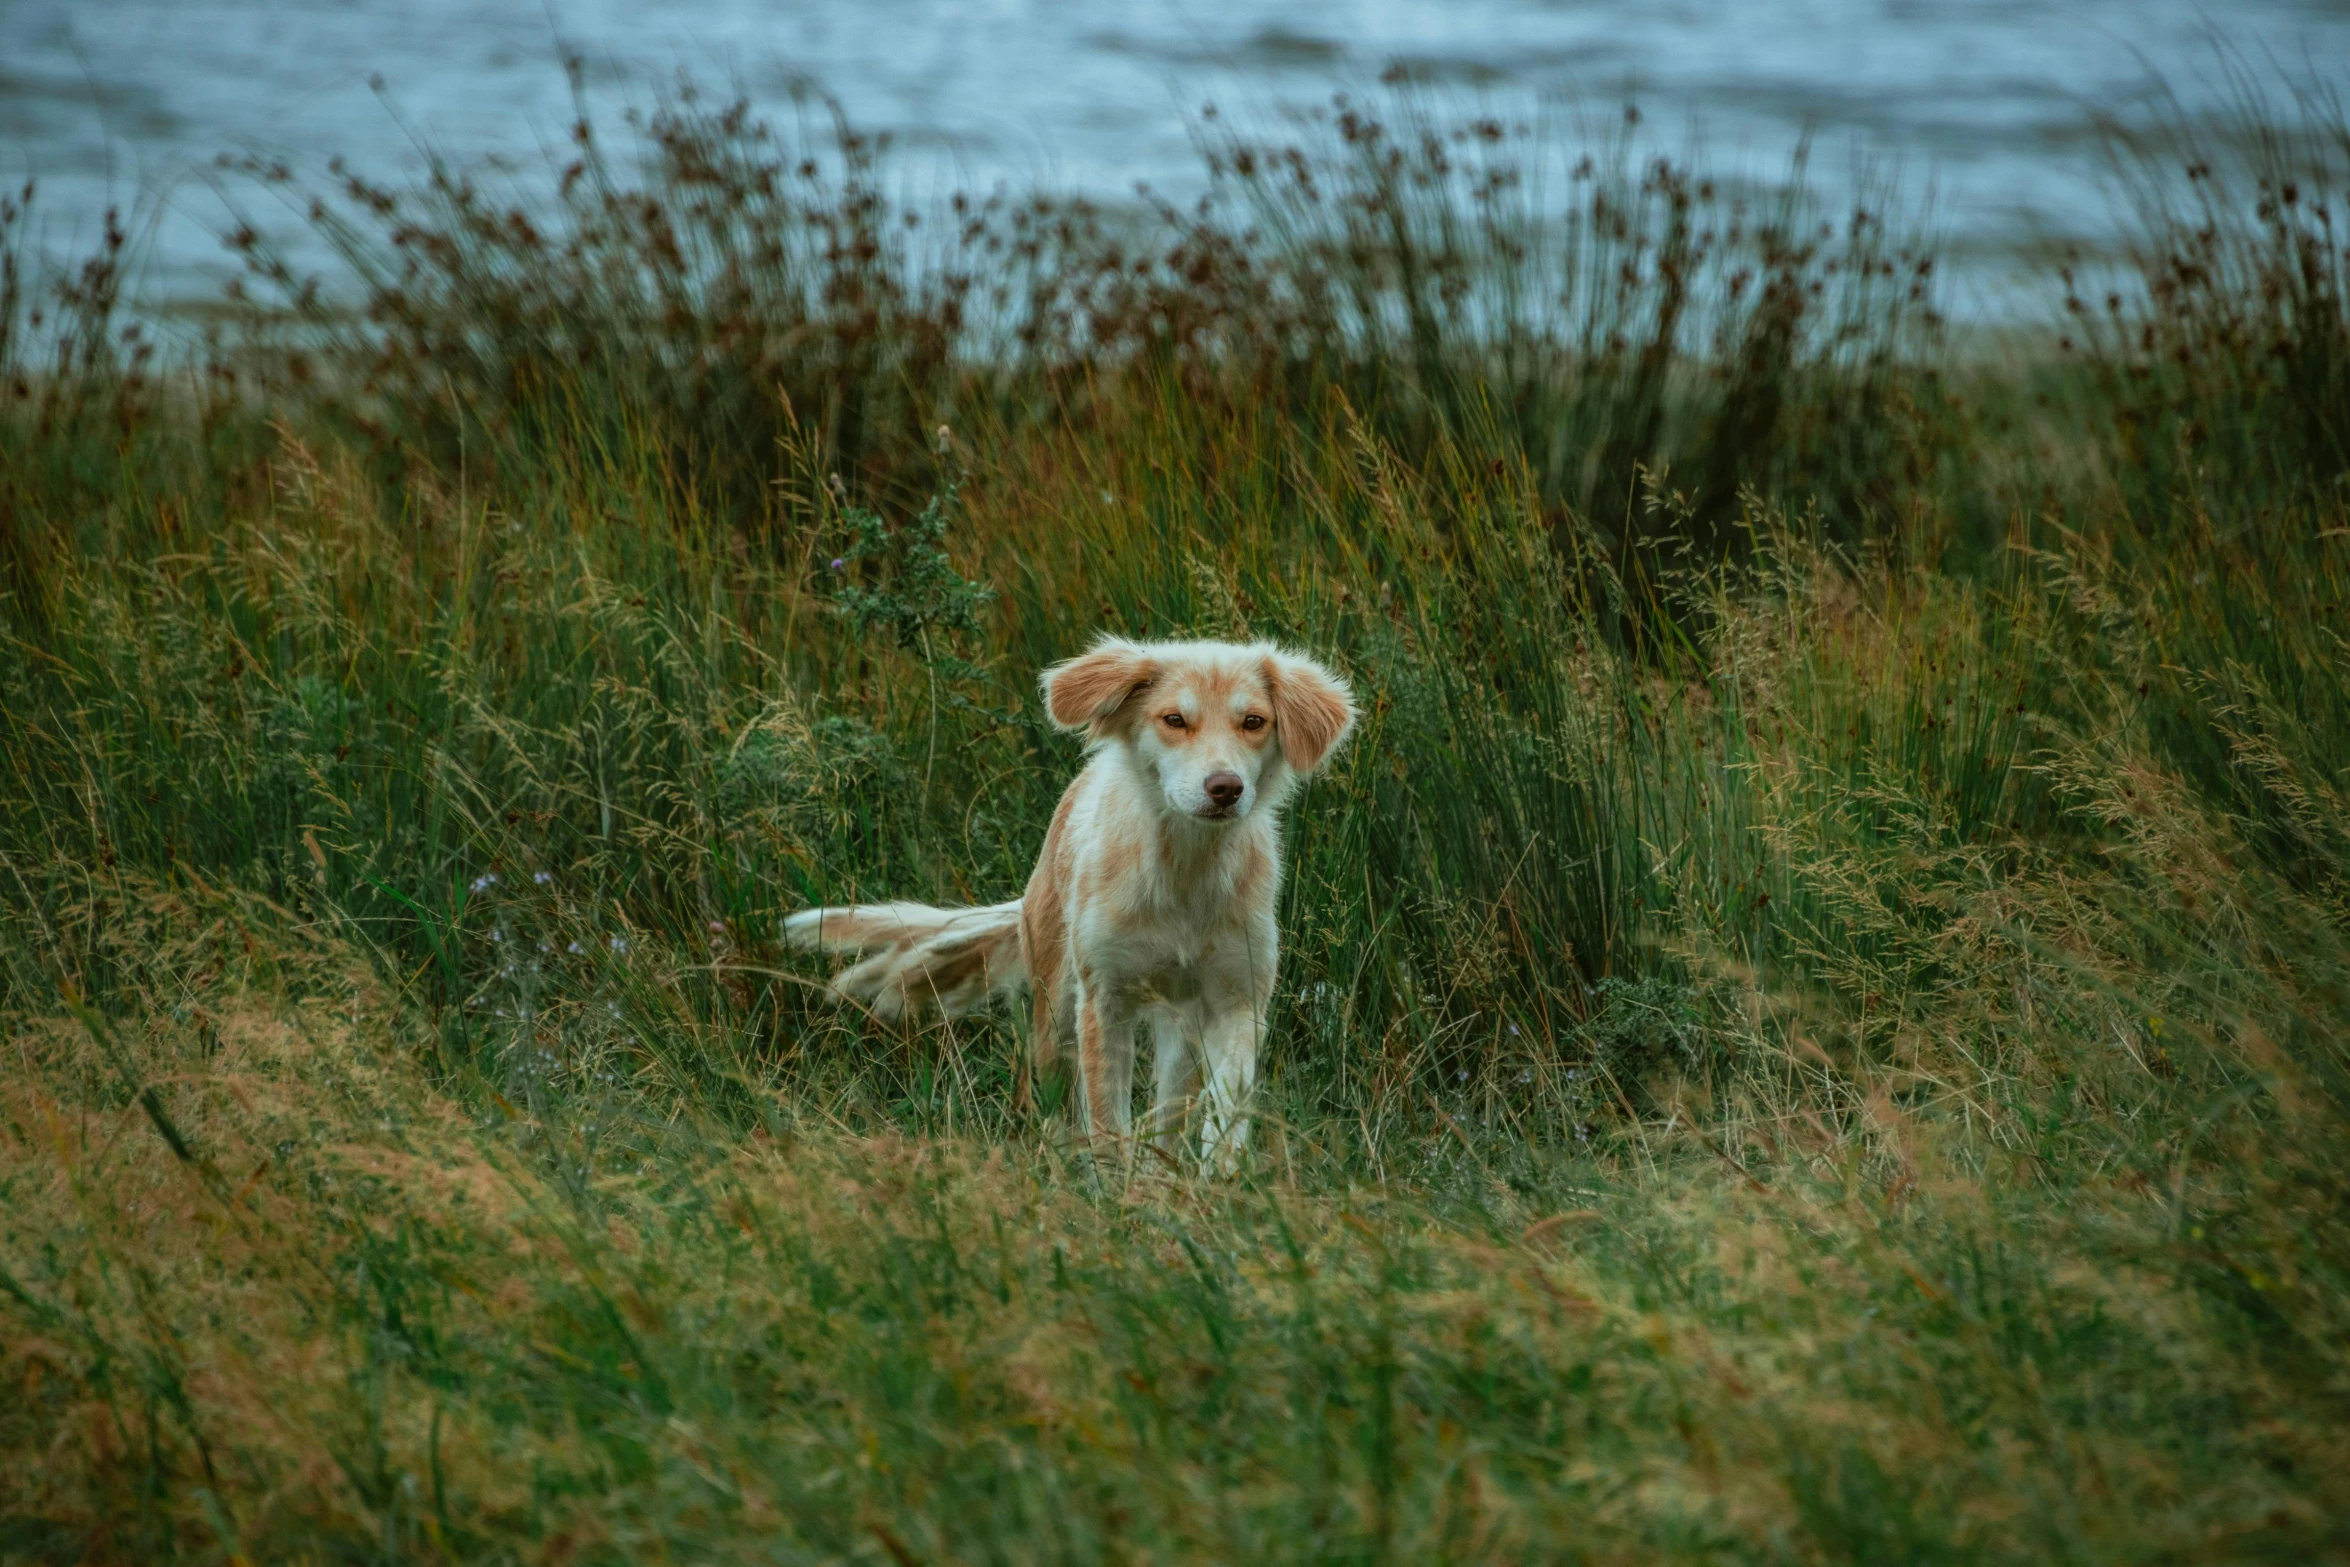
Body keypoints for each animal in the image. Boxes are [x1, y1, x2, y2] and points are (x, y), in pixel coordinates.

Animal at [784, 634, 1363, 1165]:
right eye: (1174, 720)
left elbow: (1227, 1110)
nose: (1225, 788)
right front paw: (1114, 1189)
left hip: (1179, 1023)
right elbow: (1107, 1120)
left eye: (1254, 722)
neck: (1185, 871)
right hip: (1056, 1008)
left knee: (1168, 1111)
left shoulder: (1238, 1000)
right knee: (1056, 1103)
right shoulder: (1104, 1000)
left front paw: (1215, 1177)